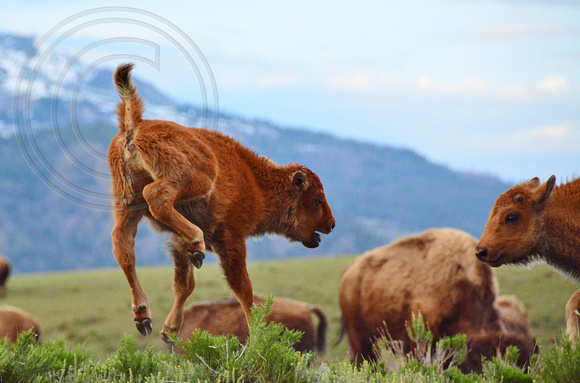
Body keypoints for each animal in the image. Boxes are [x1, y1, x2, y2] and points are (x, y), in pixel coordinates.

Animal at [109, 63, 336, 342]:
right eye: (317, 200)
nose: (331, 224)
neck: (255, 180)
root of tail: (136, 126)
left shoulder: (178, 242)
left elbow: (184, 284)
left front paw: (169, 330)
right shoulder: (232, 240)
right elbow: (243, 288)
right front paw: (258, 332)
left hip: (126, 202)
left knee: (123, 245)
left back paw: (143, 316)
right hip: (199, 178)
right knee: (155, 196)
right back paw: (196, 241)